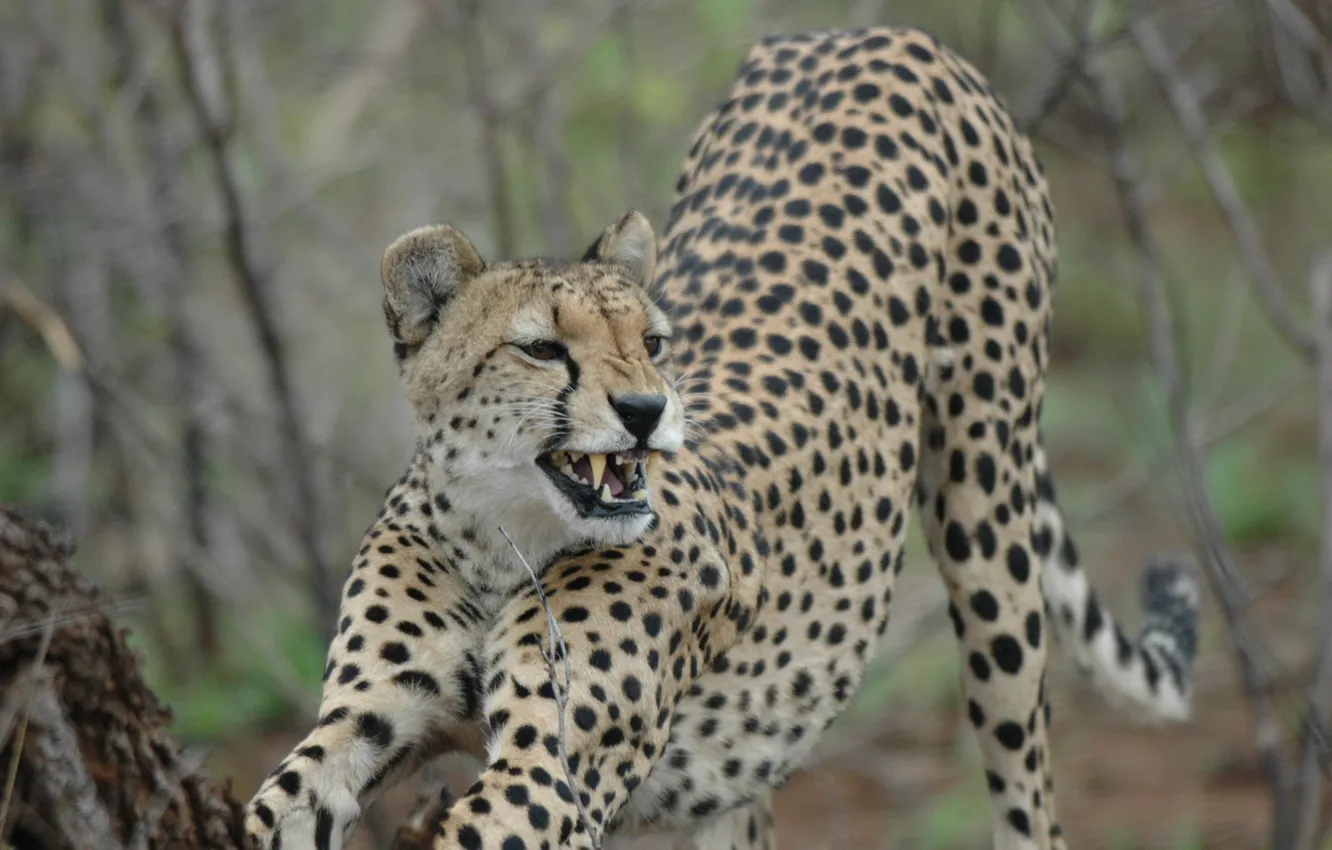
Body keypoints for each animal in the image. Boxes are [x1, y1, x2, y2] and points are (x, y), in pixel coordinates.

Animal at [245, 25, 1200, 850]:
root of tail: (871, 33)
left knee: (1028, 792)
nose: (645, 409)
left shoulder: (550, 770)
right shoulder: (367, 717)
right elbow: (270, 808)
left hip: (988, 517)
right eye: (543, 348)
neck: (498, 537)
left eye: (653, 343)